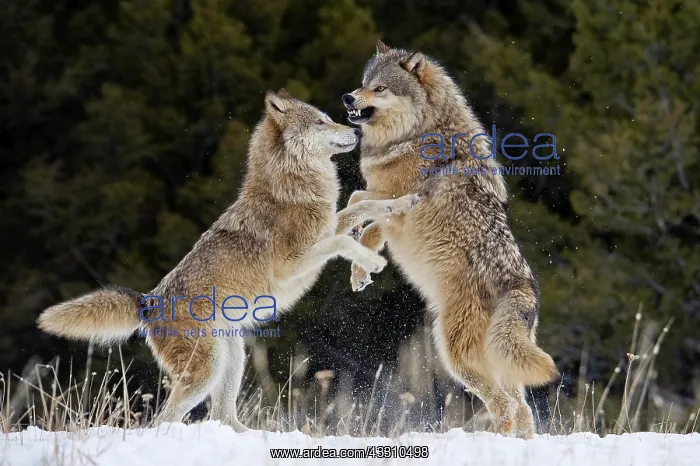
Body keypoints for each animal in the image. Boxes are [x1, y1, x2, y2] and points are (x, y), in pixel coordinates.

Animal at [37, 89, 419, 432]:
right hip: (207, 371)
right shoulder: (294, 264)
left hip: (233, 358)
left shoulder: (327, 228)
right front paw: (372, 262)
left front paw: (402, 203)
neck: (291, 188)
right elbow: (344, 237)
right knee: (164, 421)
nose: (357, 132)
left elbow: (364, 205)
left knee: (222, 415)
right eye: (321, 121)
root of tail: (148, 303)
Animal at [341, 41, 559, 439]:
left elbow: (361, 207)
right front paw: (358, 259)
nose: (348, 97)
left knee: (504, 406)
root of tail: (522, 286)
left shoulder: (397, 204)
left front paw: (358, 261)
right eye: (364, 83)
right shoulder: (387, 205)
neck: (414, 135)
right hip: (500, 363)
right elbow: (360, 209)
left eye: (380, 88)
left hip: (454, 353)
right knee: (522, 408)